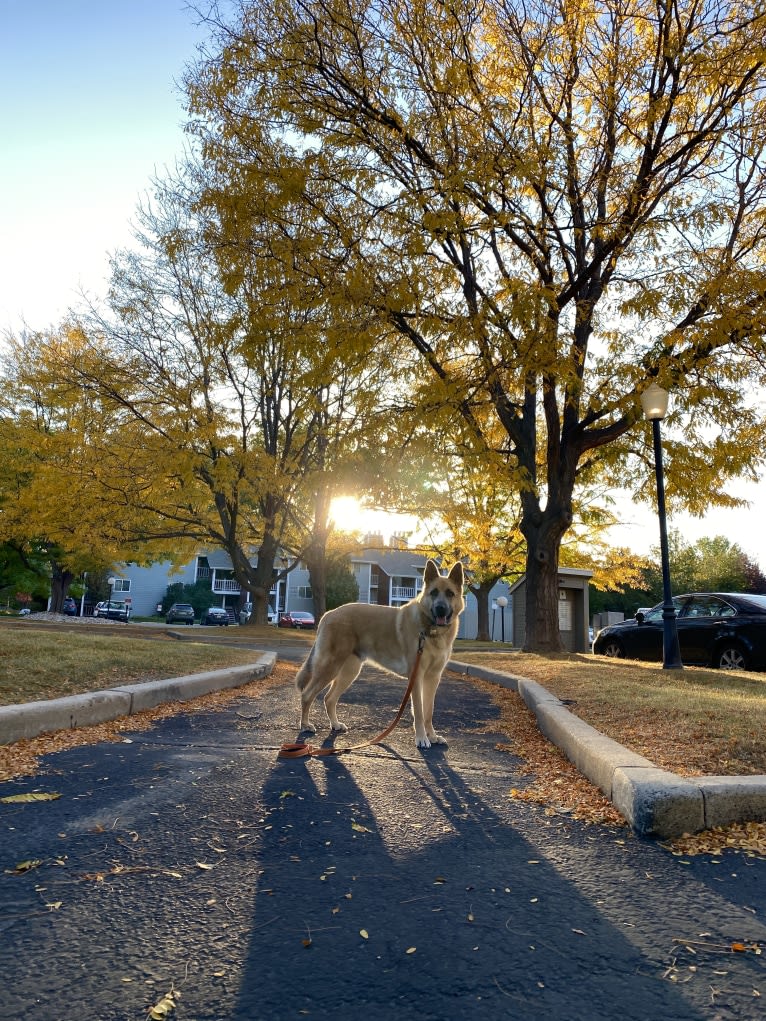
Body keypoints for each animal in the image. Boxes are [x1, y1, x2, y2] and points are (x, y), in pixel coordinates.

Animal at [296, 559, 465, 751]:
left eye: (450, 593)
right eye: (434, 593)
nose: (440, 609)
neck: (431, 630)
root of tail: (328, 614)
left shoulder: (433, 678)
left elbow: (429, 711)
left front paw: (433, 736)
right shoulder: (417, 677)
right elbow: (419, 711)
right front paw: (422, 738)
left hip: (349, 672)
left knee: (329, 698)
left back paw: (336, 724)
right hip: (329, 667)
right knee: (307, 695)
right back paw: (305, 725)